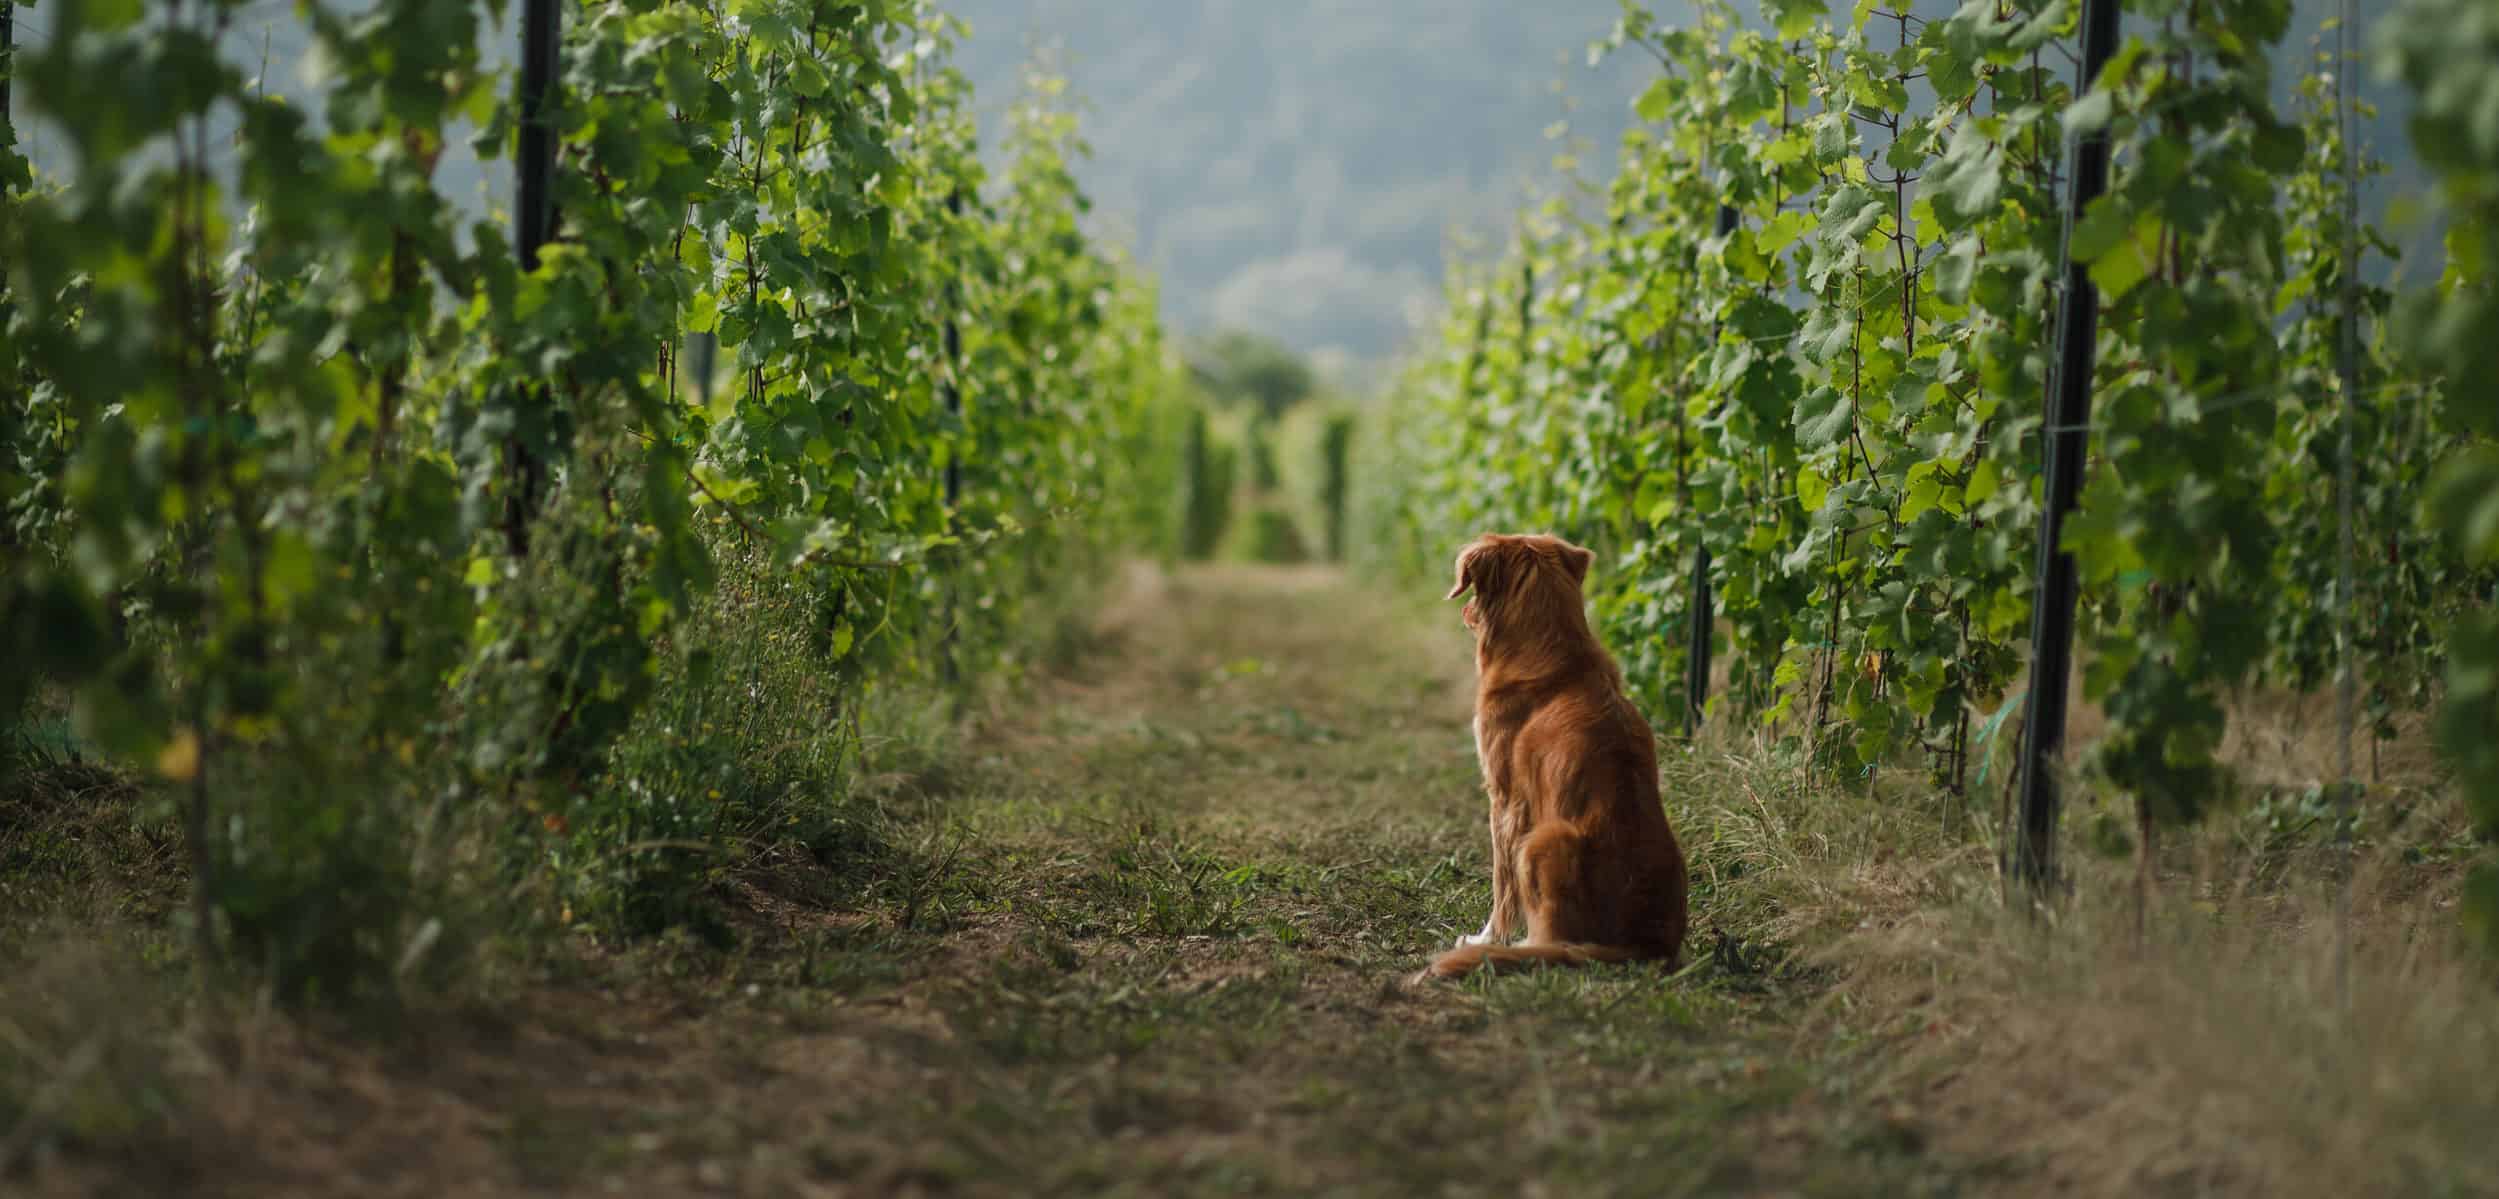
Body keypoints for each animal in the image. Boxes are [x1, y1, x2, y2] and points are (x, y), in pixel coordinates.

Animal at [1419, 534, 1689, 984]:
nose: (1466, 611)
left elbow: (1502, 884)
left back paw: (1520, 950)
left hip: (1544, 840)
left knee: (1552, 936)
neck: (1557, 654)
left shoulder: (1505, 800)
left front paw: (1487, 939)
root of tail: (1644, 946)